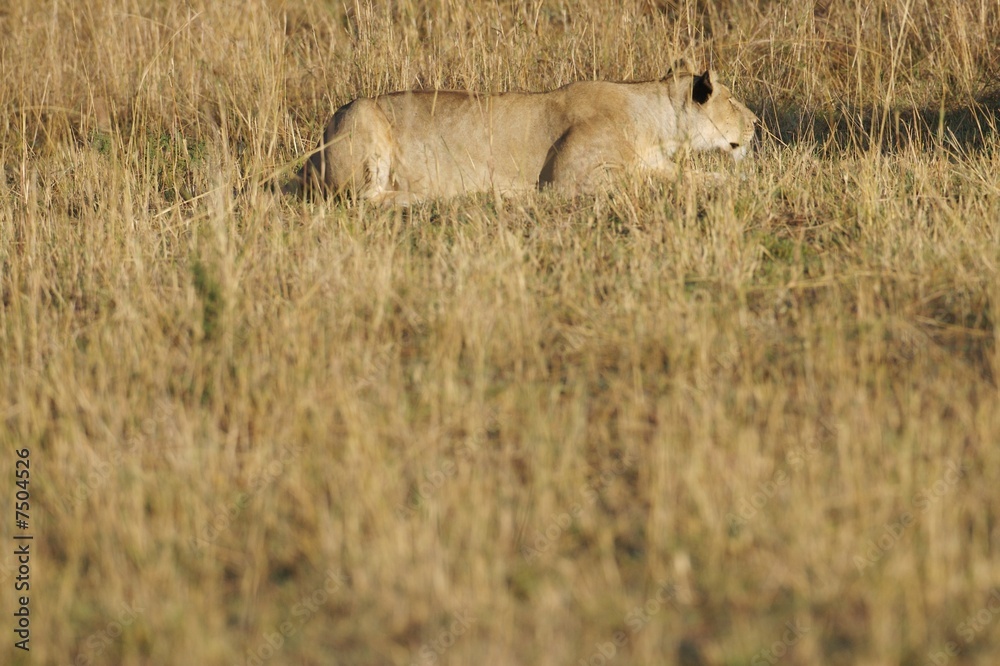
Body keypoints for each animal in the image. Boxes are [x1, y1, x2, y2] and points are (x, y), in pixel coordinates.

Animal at [284, 67, 757, 203]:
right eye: (733, 100)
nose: (756, 124)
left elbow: (697, 176)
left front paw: (738, 182)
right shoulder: (571, 178)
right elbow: (652, 182)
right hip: (361, 114)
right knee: (362, 198)